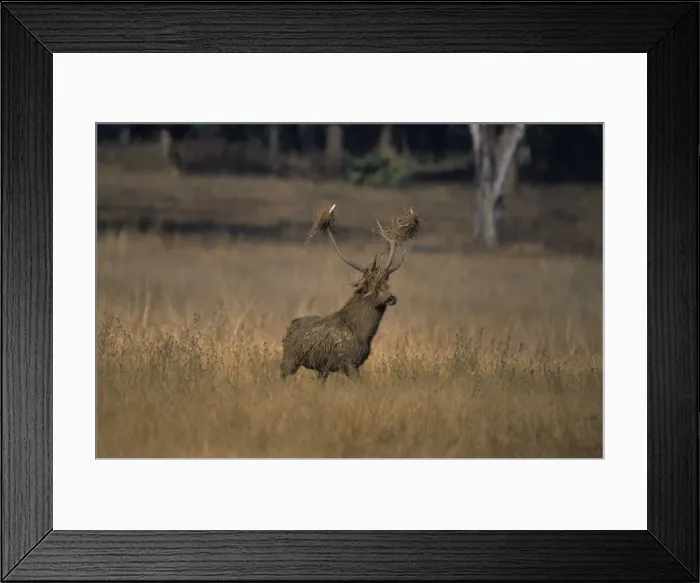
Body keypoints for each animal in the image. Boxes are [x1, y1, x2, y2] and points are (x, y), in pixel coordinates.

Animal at [280, 206, 415, 382]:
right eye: (371, 286)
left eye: (386, 283)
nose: (391, 298)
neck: (363, 334)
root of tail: (290, 326)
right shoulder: (348, 362)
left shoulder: (352, 363)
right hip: (289, 360)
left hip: (321, 369)